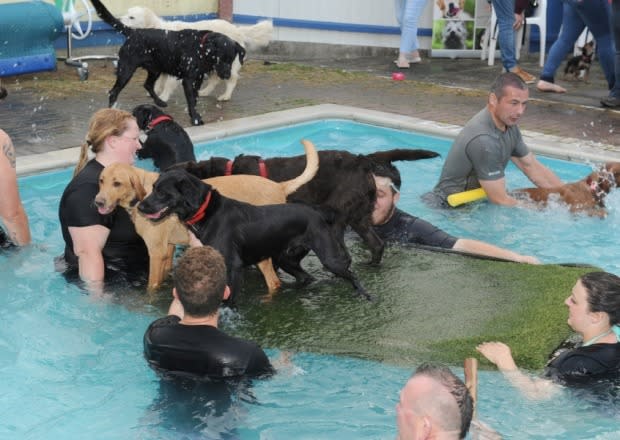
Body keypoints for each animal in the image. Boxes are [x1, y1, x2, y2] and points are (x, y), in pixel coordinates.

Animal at [89, 0, 245, 125]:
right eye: (219, 58)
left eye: (231, 58)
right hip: (126, 70)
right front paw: (195, 118)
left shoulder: (198, 78)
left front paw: (193, 114)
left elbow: (193, 98)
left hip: (155, 69)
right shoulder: (188, 80)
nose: (226, 74)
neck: (200, 48)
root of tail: (134, 32)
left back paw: (161, 102)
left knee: (147, 85)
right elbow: (190, 100)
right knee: (114, 92)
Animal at [95, 141, 320, 292]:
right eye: (101, 180)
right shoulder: (168, 249)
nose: (98, 203)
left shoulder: (156, 253)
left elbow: (152, 287)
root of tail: (279, 186)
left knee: (274, 282)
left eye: (117, 183)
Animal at [122, 6, 272, 102]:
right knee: (214, 79)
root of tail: (236, 28)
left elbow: (168, 83)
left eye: (131, 17)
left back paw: (225, 96)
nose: (118, 19)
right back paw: (204, 92)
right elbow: (159, 81)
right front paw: (154, 92)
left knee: (232, 79)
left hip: (225, 64)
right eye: (126, 13)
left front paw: (163, 96)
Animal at [139, 169, 372, 302]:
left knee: (352, 274)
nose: (139, 206)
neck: (208, 211)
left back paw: (366, 296)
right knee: (306, 277)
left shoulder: (233, 266)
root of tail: (317, 212)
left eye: (162, 192)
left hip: (328, 257)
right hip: (286, 258)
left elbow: (229, 299)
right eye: (152, 187)